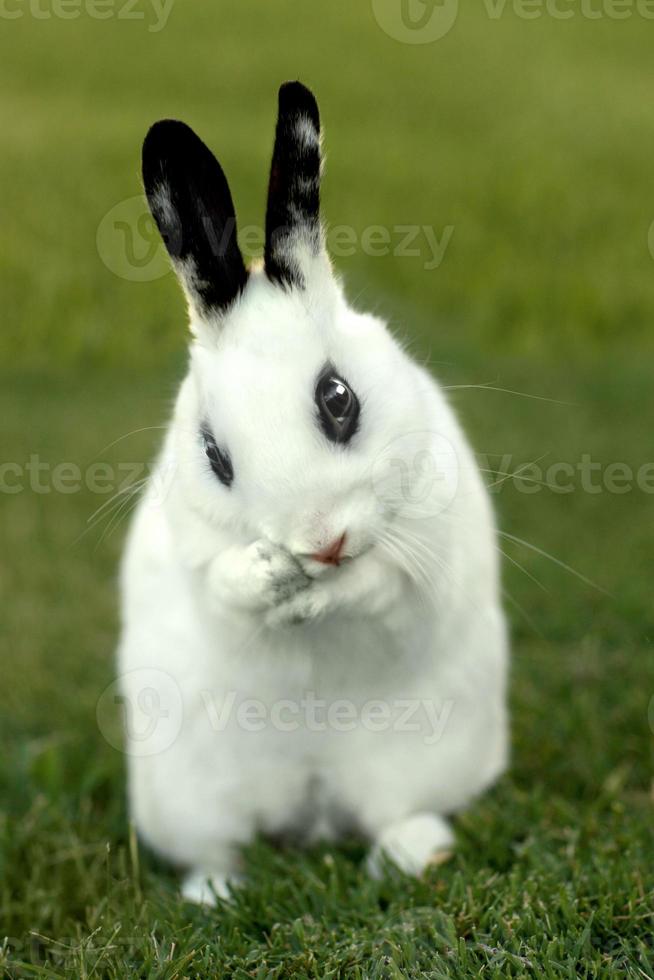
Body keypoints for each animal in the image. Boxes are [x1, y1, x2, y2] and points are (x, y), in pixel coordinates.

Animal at [120, 82, 512, 904]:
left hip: (418, 763)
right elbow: (221, 589)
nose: (320, 542)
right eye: (213, 454)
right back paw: (215, 893)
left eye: (340, 399)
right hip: (194, 797)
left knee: (394, 815)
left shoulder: (424, 556)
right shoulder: (193, 552)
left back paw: (414, 854)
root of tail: (314, 800)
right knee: (223, 846)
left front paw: (318, 594)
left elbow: (384, 587)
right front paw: (269, 578)